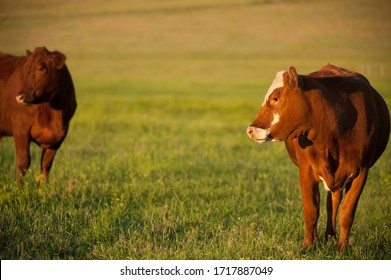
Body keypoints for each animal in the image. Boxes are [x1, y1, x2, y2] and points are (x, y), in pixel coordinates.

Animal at [0, 46, 76, 180]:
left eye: (40, 68)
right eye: (25, 68)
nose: (19, 97)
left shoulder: (58, 139)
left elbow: (45, 166)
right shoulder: (20, 130)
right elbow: (23, 163)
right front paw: (18, 186)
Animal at [248, 64, 391, 250]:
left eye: (275, 98)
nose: (250, 130)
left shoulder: (362, 171)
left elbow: (347, 212)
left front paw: (342, 249)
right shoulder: (306, 170)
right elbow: (311, 210)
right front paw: (308, 246)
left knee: (334, 202)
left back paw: (330, 237)